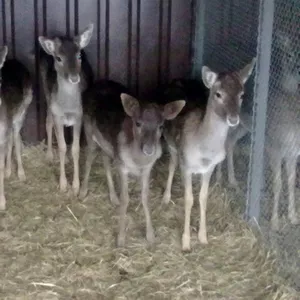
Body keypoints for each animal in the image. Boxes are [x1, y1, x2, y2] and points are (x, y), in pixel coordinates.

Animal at [37, 24, 94, 196]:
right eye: (59, 58)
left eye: (79, 55)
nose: (74, 78)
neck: (68, 106)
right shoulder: (57, 113)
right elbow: (61, 146)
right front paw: (63, 185)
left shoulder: (79, 116)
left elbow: (75, 148)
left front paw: (75, 186)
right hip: (46, 92)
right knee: (48, 122)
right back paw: (49, 155)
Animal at [79, 79, 185, 246]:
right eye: (138, 123)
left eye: (161, 125)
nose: (149, 149)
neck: (138, 161)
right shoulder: (122, 167)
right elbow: (126, 199)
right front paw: (121, 239)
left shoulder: (147, 169)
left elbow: (145, 197)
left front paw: (150, 236)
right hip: (89, 133)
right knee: (89, 158)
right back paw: (83, 192)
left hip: (107, 146)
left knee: (105, 160)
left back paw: (113, 197)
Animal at [162, 58, 255, 251]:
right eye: (218, 94)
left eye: (242, 95)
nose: (233, 119)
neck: (204, 150)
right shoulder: (186, 165)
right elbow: (189, 199)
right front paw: (186, 242)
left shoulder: (209, 168)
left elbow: (203, 198)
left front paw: (203, 237)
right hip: (171, 144)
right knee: (171, 165)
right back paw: (166, 197)